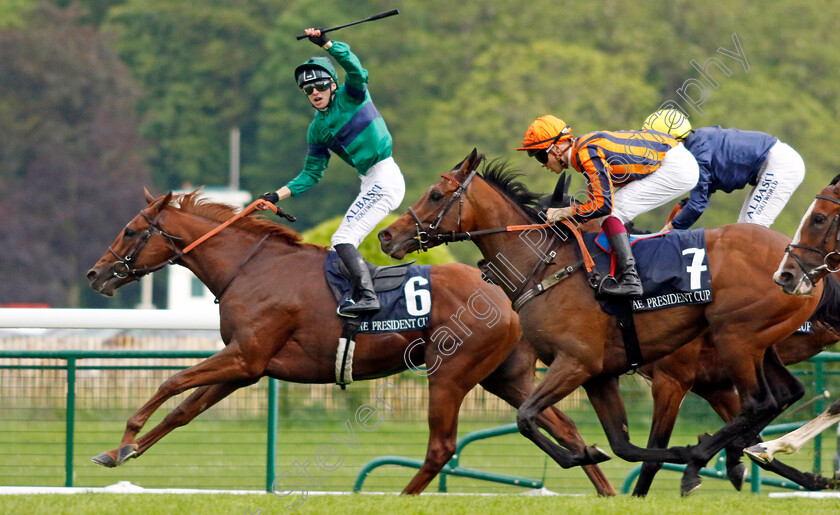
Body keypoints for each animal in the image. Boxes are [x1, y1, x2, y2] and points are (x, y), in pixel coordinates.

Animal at [83, 188, 616, 496]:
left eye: (130, 230)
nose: (94, 274)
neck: (250, 268)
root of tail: (502, 292)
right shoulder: (245, 367)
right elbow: (182, 410)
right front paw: (120, 452)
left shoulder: (245, 356)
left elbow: (170, 383)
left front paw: (124, 439)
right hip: (504, 376)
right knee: (565, 427)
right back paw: (603, 483)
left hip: (451, 373)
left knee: (442, 446)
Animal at [382, 150, 840, 496]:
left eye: (435, 194)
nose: (387, 236)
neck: (544, 266)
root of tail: (798, 266)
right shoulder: (600, 375)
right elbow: (625, 447)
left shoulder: (582, 364)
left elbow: (527, 418)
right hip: (756, 344)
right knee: (781, 397)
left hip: (736, 339)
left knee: (760, 404)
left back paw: (710, 456)